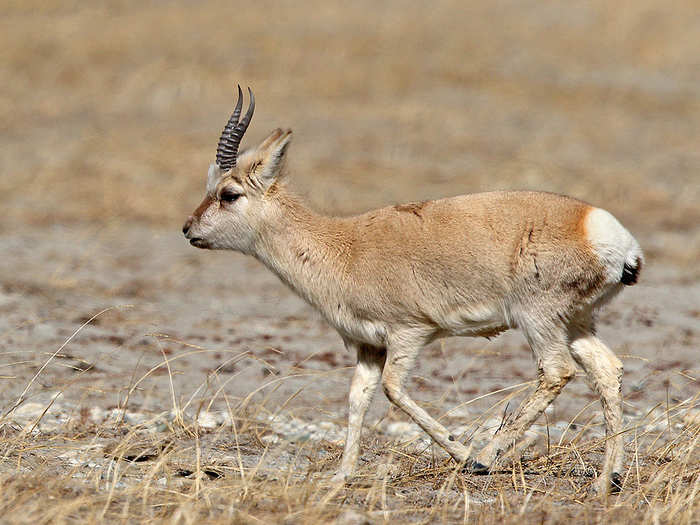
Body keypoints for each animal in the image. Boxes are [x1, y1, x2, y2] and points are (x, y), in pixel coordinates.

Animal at [183, 85, 644, 492]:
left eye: (228, 193)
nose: (188, 229)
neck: (344, 247)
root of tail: (606, 233)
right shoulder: (368, 347)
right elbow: (358, 398)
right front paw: (341, 475)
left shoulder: (408, 333)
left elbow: (393, 390)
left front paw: (464, 453)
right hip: (576, 321)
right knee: (607, 369)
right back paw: (608, 479)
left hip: (538, 320)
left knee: (557, 371)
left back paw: (486, 456)